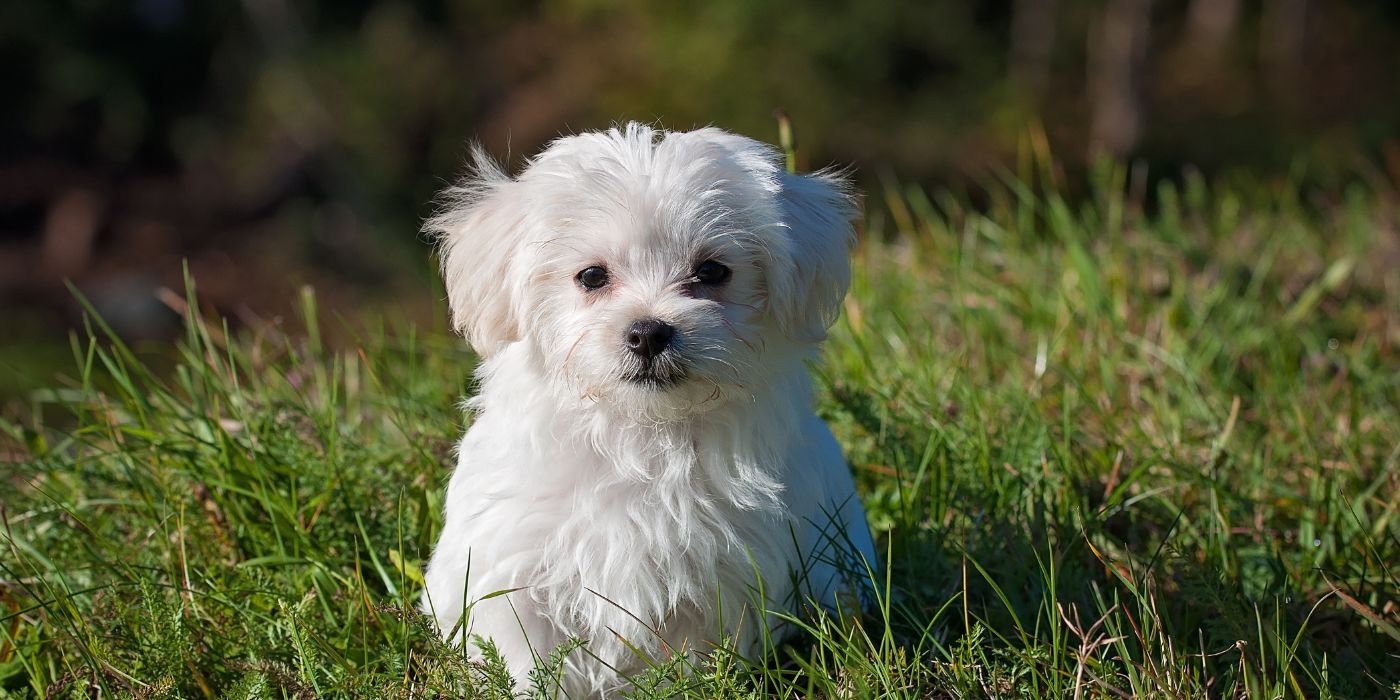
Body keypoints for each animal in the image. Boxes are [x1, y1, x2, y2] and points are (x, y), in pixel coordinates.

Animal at [420, 123, 873, 697]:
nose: (649, 331)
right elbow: (528, 660)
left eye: (712, 271)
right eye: (592, 276)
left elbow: (692, 661)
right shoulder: (514, 571)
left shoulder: (718, 581)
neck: (641, 433)